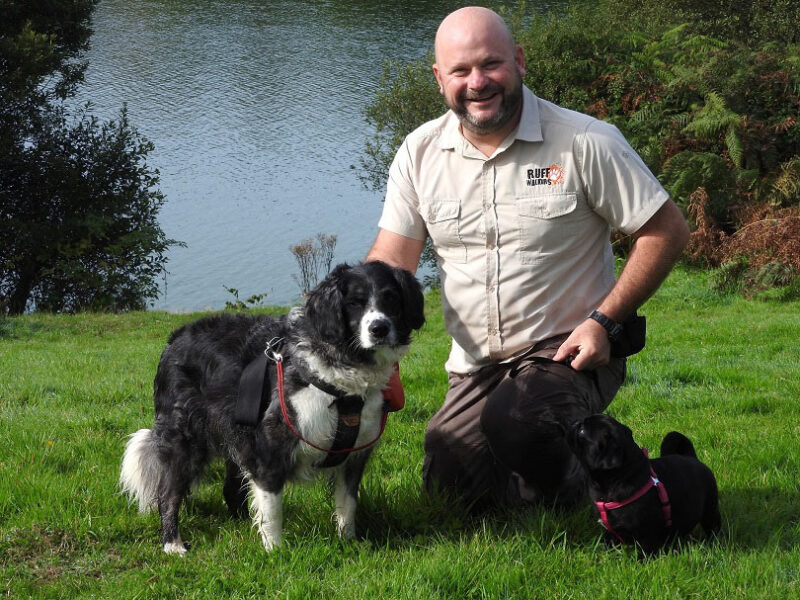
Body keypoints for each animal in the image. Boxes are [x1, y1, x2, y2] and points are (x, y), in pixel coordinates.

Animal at [119, 262, 424, 552]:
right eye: (354, 303)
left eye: (391, 298)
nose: (379, 329)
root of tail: (175, 338)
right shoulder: (269, 448)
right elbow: (273, 509)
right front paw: (274, 551)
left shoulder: (353, 456)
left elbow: (347, 505)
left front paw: (348, 542)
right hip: (185, 437)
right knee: (168, 493)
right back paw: (173, 543)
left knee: (231, 489)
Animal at [564, 414, 720, 556]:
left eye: (582, 431)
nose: (575, 422)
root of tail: (691, 457)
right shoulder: (609, 534)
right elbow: (608, 546)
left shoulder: (647, 536)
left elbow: (645, 552)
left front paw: (642, 563)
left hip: (710, 509)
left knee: (712, 526)